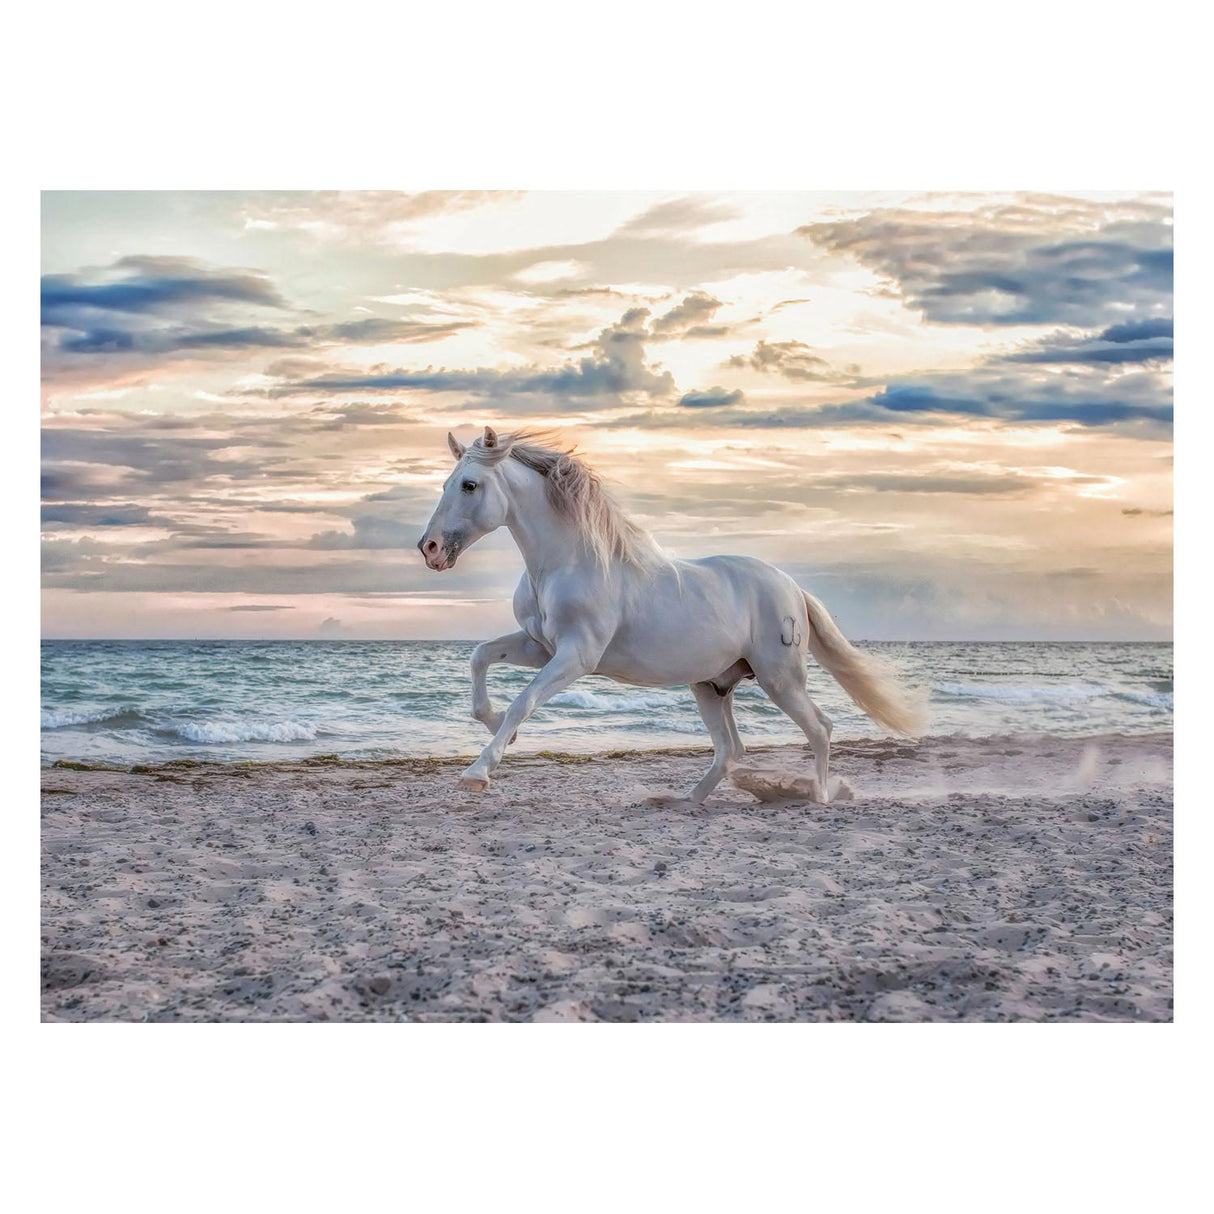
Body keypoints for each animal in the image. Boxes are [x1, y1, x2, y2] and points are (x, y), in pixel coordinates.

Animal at [418, 426, 925, 803]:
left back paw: (818, 797)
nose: (430, 549)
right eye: (444, 484)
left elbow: (523, 701)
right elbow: (480, 659)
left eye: (469, 485)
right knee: (731, 749)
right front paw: (496, 728)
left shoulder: (576, 657)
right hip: (711, 686)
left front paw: (479, 771)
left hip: (780, 679)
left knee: (819, 728)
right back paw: (687, 800)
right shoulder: (539, 647)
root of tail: (791, 587)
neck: (566, 562)